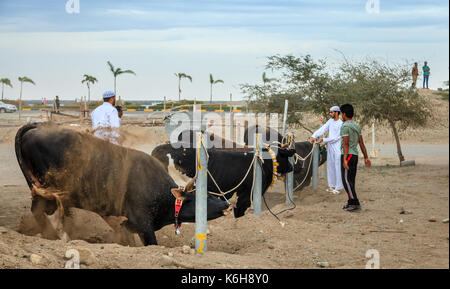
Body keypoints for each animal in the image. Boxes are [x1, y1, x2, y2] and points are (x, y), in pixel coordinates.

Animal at [14, 124, 232, 245]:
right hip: (45, 192)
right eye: (204, 195)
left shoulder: (127, 224)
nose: (227, 204)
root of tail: (36, 128)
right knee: (38, 211)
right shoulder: (143, 224)